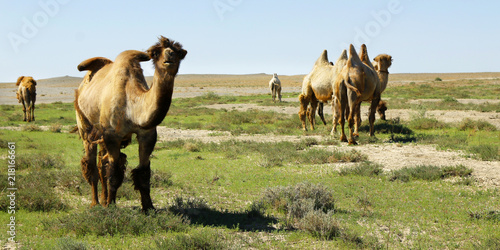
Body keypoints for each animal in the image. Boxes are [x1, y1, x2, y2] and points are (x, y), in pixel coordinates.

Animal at [75, 35, 188, 211]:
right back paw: (96, 203)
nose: (170, 55)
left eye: (179, 52)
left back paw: (104, 199)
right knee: (91, 164)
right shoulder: (112, 135)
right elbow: (114, 173)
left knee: (101, 163)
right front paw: (112, 206)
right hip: (84, 125)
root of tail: (81, 87)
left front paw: (149, 207)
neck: (132, 107)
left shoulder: (147, 135)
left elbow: (144, 173)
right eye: (156, 53)